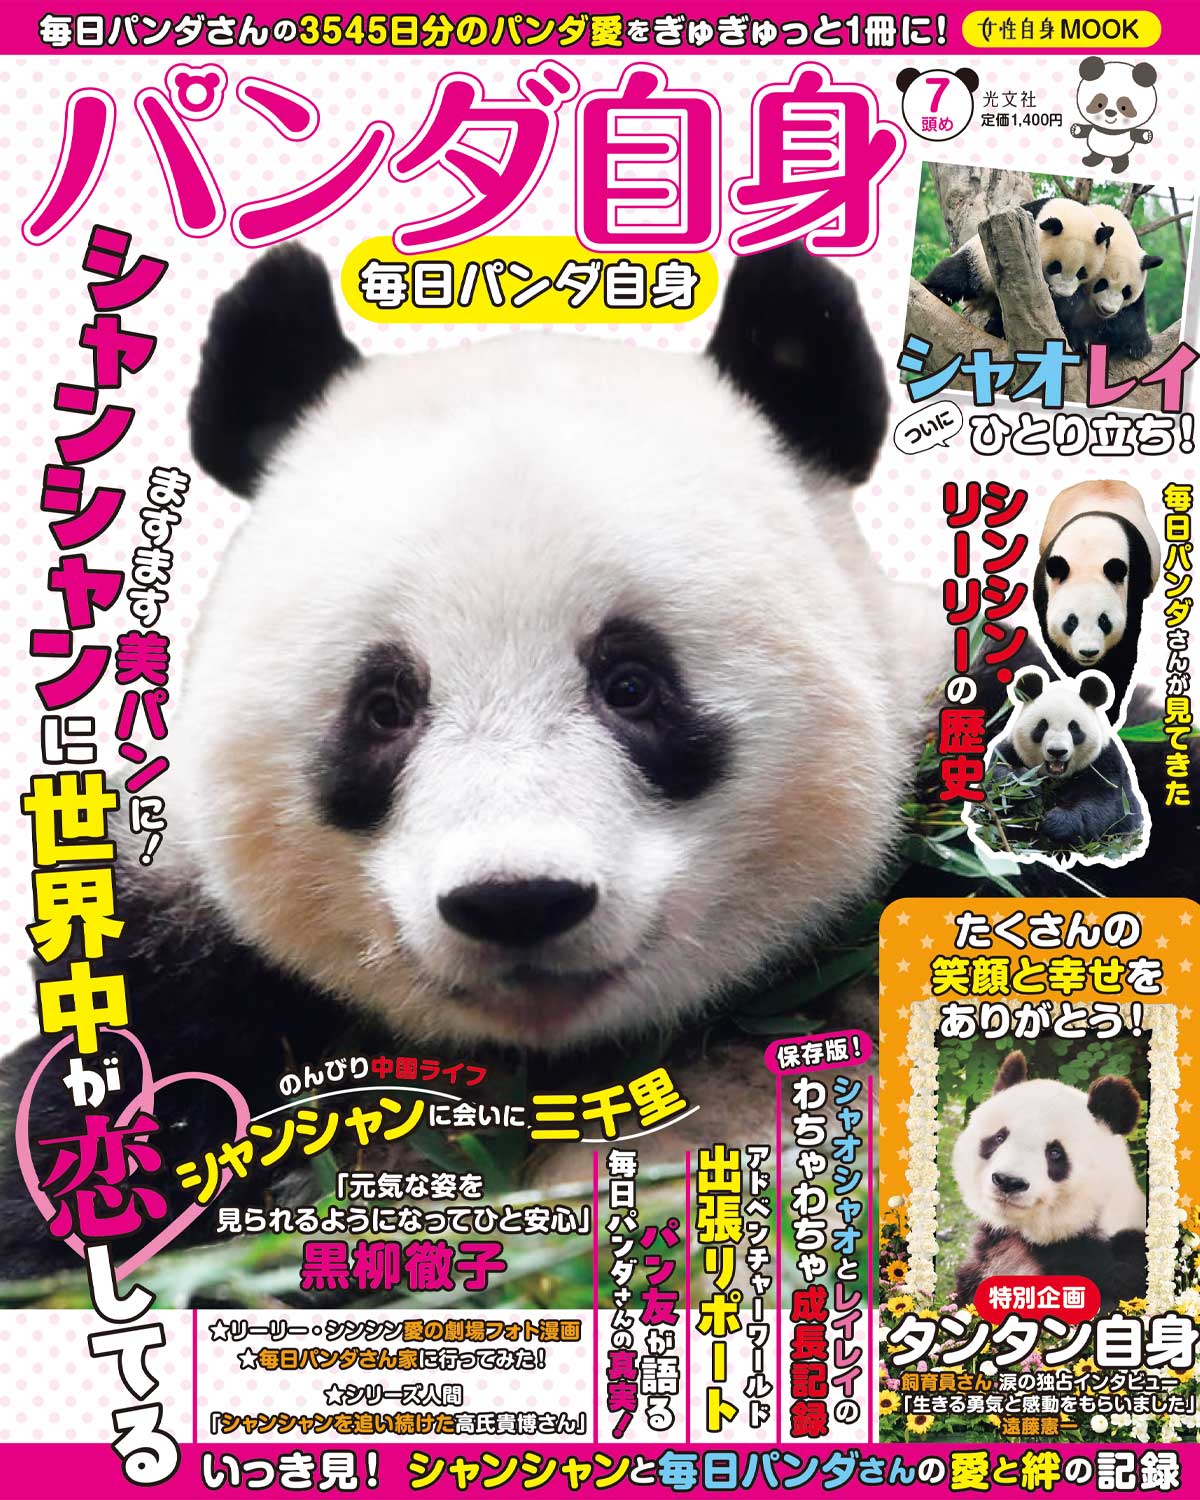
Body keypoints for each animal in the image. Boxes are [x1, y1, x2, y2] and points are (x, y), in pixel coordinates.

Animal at [922, 196, 1111, 339]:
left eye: (1082, 272)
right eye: (1055, 266)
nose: (1062, 293)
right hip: (977, 262)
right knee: (955, 273)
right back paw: (937, 292)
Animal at [989, 668, 1144, 854]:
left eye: (1073, 728)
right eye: (1042, 726)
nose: (1057, 751)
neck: (1055, 778)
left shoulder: (1105, 763)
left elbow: (1105, 804)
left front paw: (1057, 822)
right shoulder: (1010, 751)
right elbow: (996, 779)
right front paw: (1025, 785)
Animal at [1033, 481, 1157, 722]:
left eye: (1104, 620)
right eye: (1071, 621)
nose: (1088, 652)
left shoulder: (1131, 587)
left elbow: (1124, 651)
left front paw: (1109, 711)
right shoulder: (1045, 589)